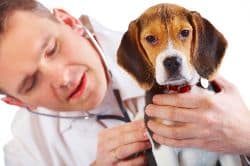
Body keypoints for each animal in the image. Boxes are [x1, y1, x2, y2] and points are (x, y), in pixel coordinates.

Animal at [117, 2, 242, 166]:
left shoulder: (226, 148)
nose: (172, 62)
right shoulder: (164, 147)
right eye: (150, 38)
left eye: (184, 32)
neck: (182, 89)